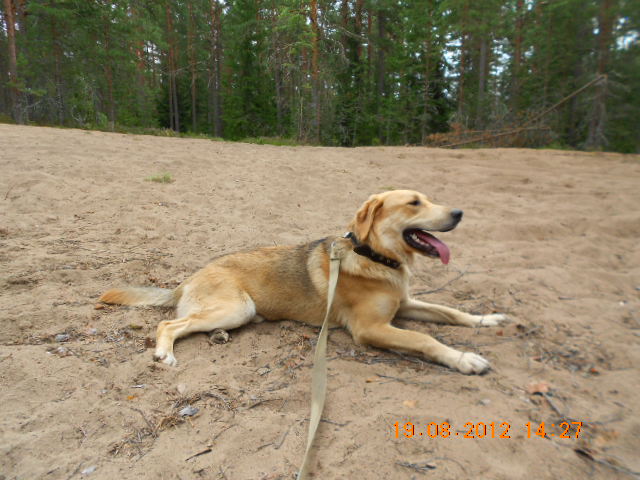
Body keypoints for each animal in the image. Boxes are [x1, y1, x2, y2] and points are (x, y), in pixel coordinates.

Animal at [99, 189, 507, 374]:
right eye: (413, 203)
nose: (459, 213)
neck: (373, 256)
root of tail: (187, 280)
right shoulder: (371, 329)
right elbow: (425, 339)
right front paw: (464, 359)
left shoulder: (405, 304)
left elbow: (451, 312)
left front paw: (486, 320)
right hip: (237, 306)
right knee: (168, 324)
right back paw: (165, 352)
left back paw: (217, 337)